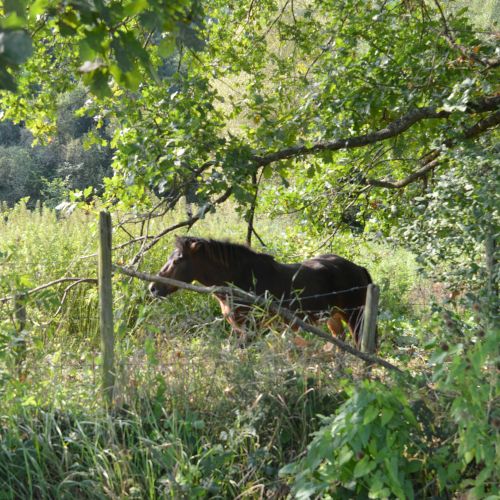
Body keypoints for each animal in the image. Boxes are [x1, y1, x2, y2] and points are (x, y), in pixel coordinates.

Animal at [149, 236, 374, 348]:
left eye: (177, 260)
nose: (153, 288)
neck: (239, 280)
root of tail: (358, 268)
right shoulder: (239, 329)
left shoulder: (251, 329)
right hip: (333, 318)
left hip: (355, 317)